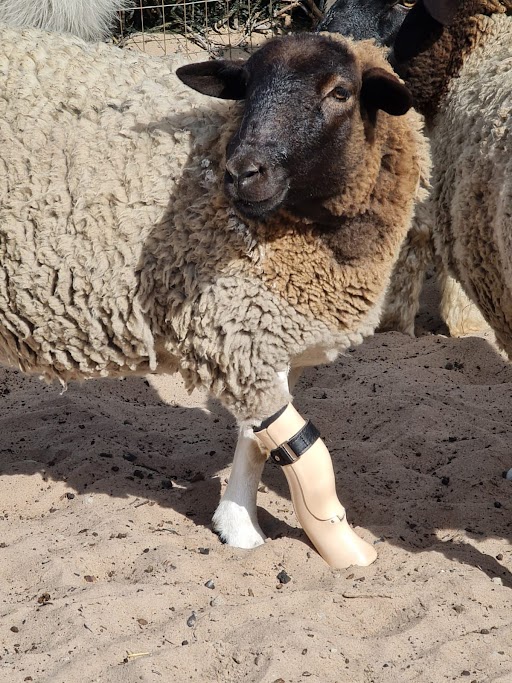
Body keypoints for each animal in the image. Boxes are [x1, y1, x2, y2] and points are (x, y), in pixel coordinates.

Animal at [0, 24, 429, 553]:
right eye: (245, 88)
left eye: (340, 93)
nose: (242, 172)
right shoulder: (233, 326)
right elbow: (306, 452)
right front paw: (348, 552)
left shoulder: (264, 333)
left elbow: (258, 441)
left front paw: (238, 527)